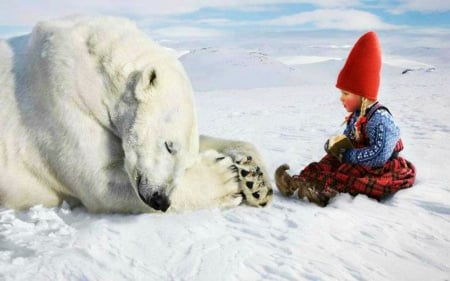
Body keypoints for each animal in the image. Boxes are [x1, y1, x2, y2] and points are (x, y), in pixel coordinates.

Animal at [0, 15, 272, 212]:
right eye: (168, 145)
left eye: (186, 163)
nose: (160, 200)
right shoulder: (59, 97)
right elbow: (101, 182)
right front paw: (226, 178)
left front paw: (254, 178)